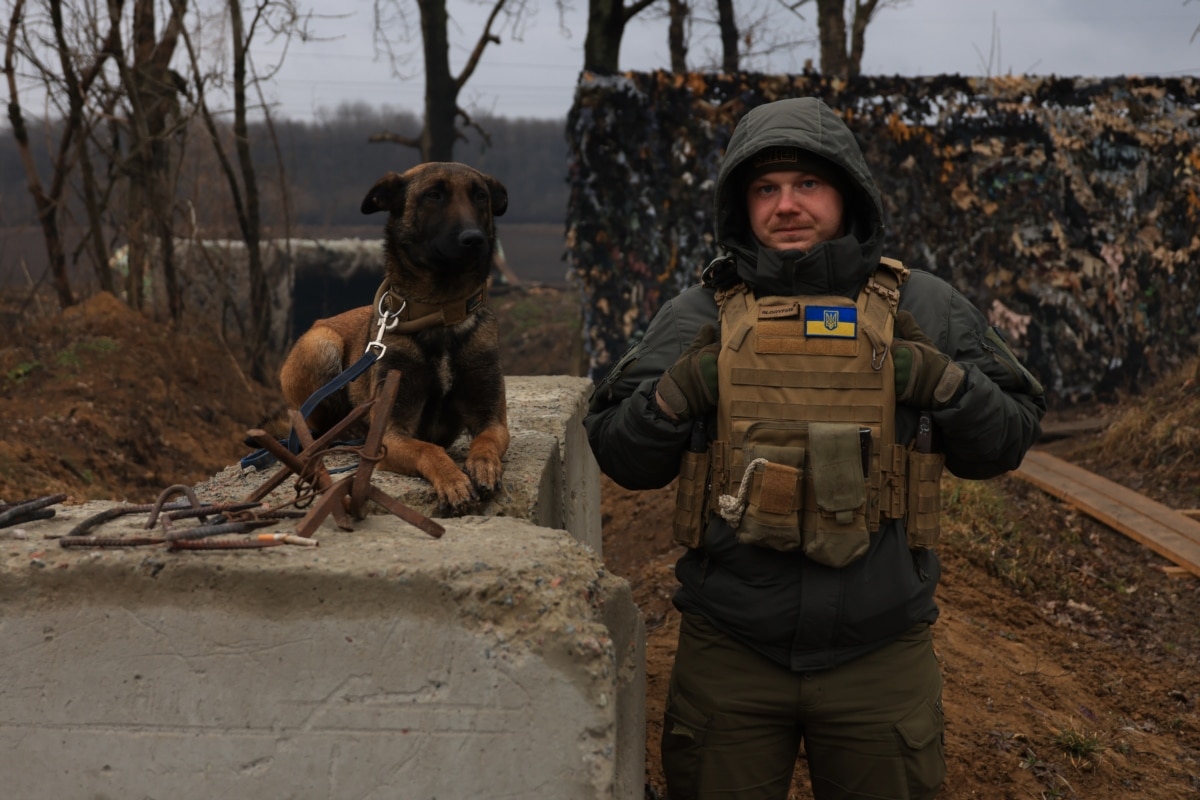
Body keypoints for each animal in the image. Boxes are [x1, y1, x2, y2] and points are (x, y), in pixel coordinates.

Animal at [279, 163, 511, 513]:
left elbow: (485, 441)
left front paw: (483, 465)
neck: (440, 311)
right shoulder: (390, 433)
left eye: (480, 196)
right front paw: (453, 480)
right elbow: (429, 449)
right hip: (320, 346)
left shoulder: (493, 419)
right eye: (433, 194)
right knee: (315, 426)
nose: (475, 239)